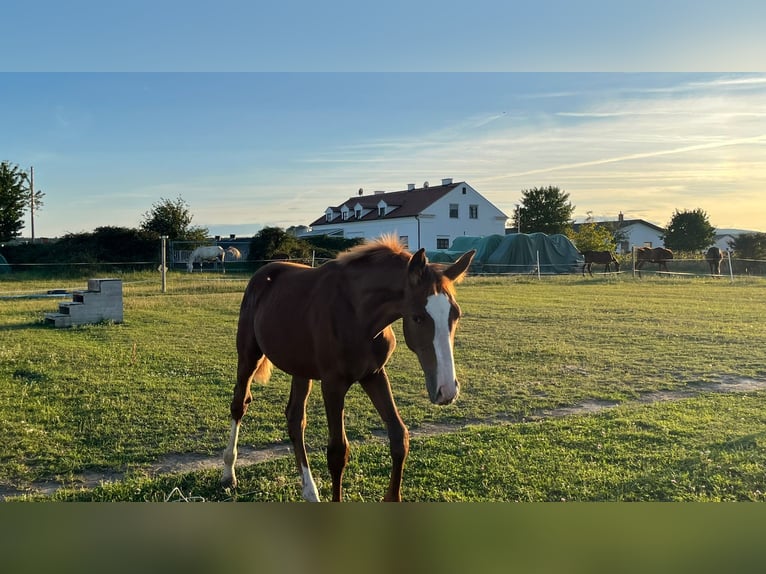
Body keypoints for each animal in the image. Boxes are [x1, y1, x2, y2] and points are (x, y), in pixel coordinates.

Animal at [221, 236, 476, 502]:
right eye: (417, 317)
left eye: (456, 315)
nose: (447, 391)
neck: (357, 314)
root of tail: (263, 273)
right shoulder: (333, 385)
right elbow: (337, 452)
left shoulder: (374, 375)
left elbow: (399, 437)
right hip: (248, 356)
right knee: (239, 404)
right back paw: (229, 472)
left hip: (301, 369)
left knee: (295, 419)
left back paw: (310, 491)